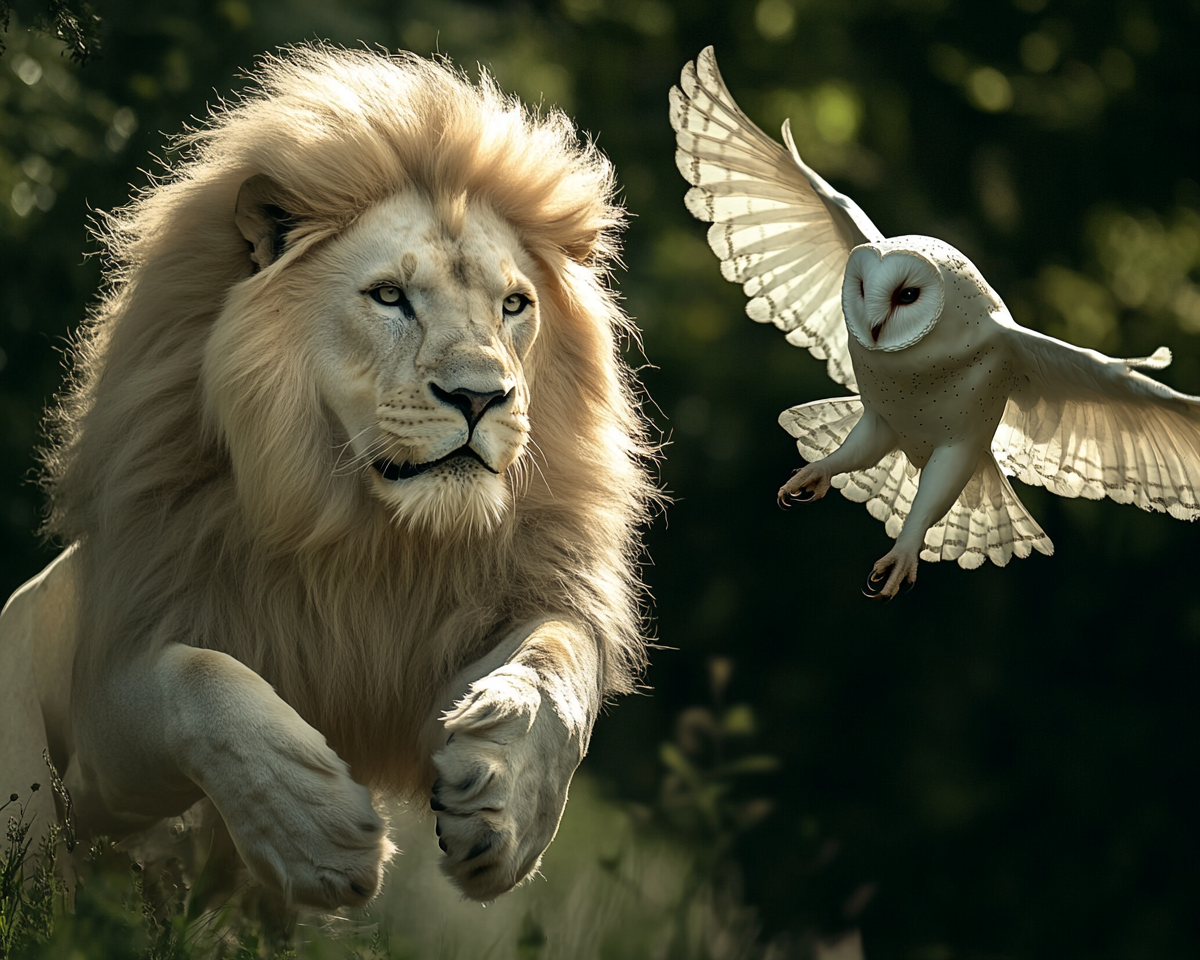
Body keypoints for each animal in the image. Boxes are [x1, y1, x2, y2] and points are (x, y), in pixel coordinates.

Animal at [0, 45, 657, 910]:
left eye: (514, 305)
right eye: (390, 296)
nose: (481, 396)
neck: (367, 539)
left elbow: (559, 658)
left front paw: (503, 802)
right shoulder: (102, 736)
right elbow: (195, 675)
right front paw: (314, 827)